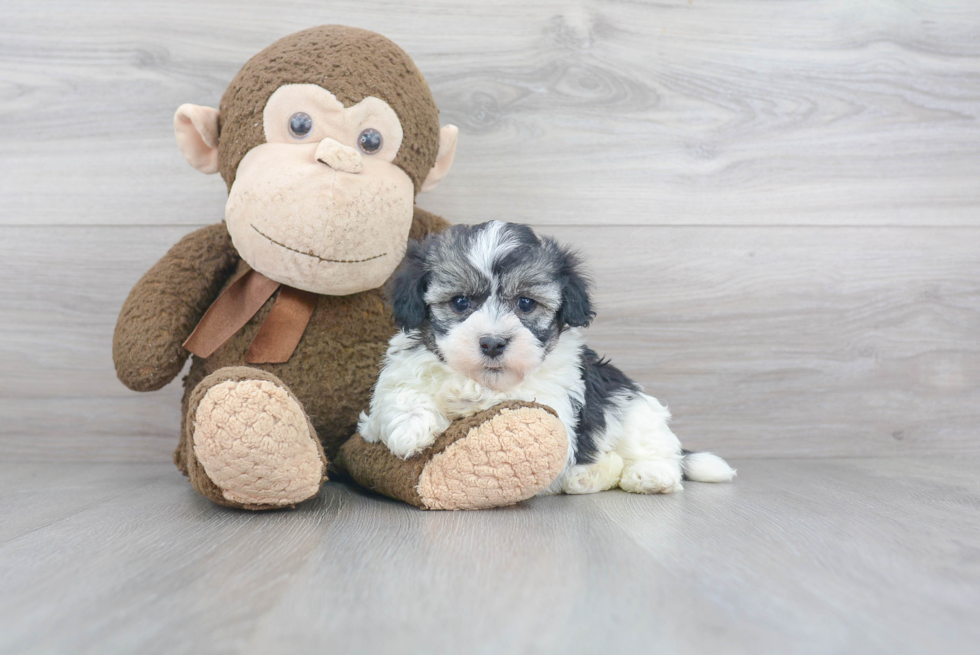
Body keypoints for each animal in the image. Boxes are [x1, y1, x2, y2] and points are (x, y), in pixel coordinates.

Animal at [356, 223, 732, 494]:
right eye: (461, 302)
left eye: (525, 303)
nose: (492, 343)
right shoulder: (400, 372)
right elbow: (395, 394)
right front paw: (411, 427)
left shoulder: (555, 402)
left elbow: (515, 400)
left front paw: (464, 395)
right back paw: (584, 478)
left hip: (632, 406)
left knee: (655, 449)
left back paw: (648, 475)